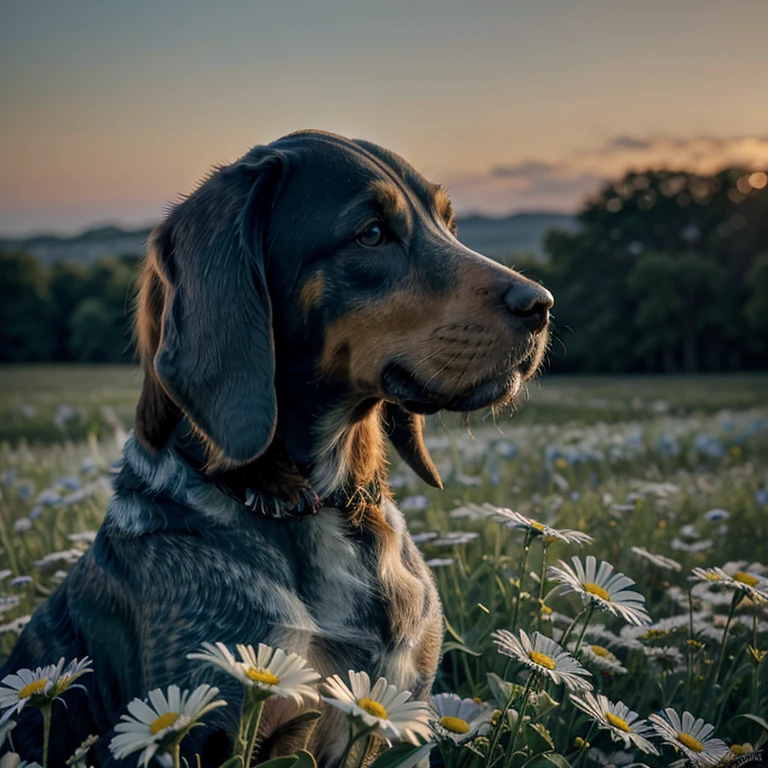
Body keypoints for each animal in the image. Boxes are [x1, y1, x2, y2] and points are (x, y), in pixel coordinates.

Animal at [0, 129, 552, 764]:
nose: (541, 304)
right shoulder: (211, 725)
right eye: (371, 233)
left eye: (449, 223)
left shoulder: (401, 720)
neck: (325, 505)